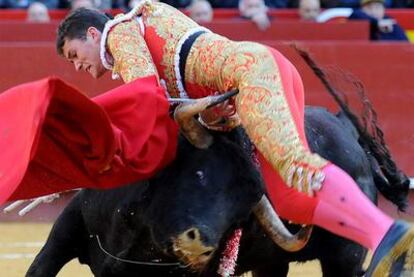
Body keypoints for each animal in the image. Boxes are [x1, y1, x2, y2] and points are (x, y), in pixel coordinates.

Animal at [25, 105, 408, 276]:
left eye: (244, 207)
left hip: (345, 257)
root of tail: (347, 132)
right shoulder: (61, 239)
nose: (199, 244)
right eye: (199, 174)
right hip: (272, 264)